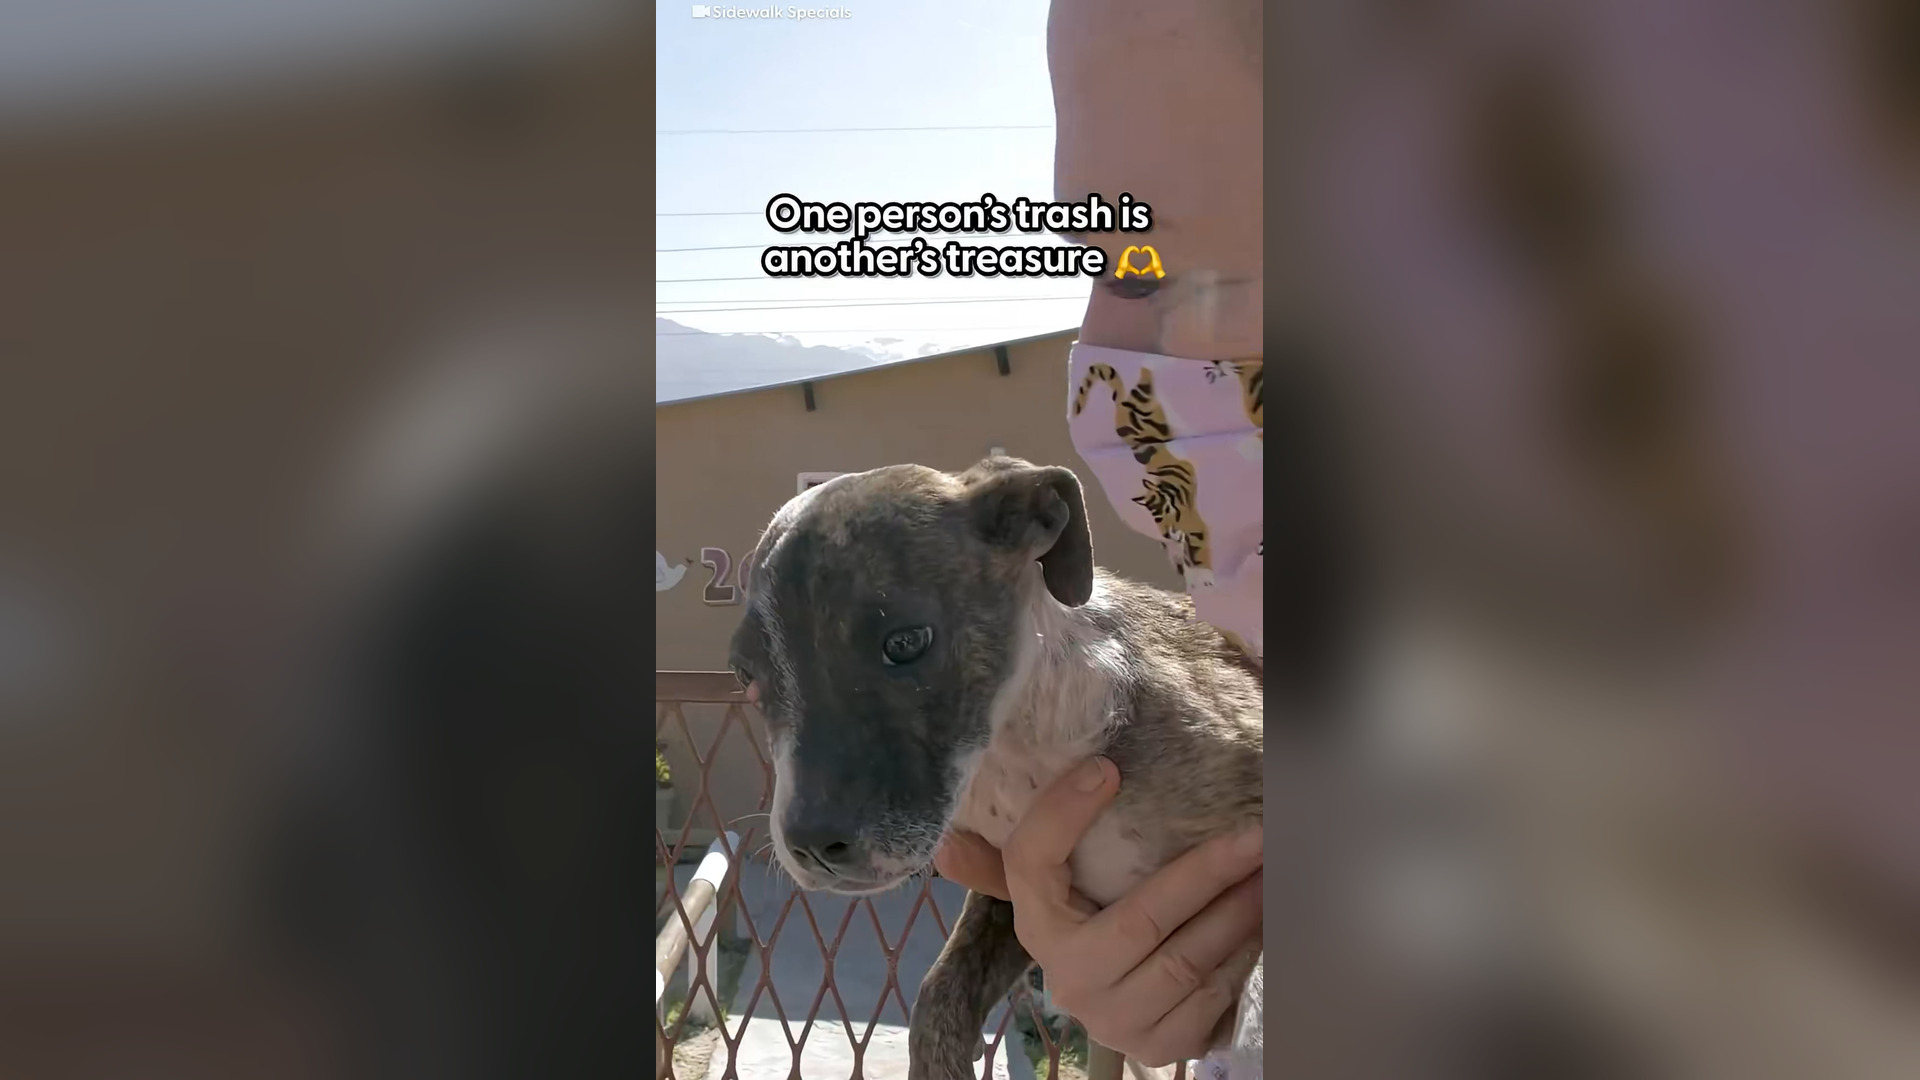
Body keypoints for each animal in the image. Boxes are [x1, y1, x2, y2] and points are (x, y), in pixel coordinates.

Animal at [727, 456, 1264, 1078]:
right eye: (745, 675)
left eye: (906, 641)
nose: (811, 847)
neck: (1014, 754)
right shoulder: (1014, 899)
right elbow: (939, 996)